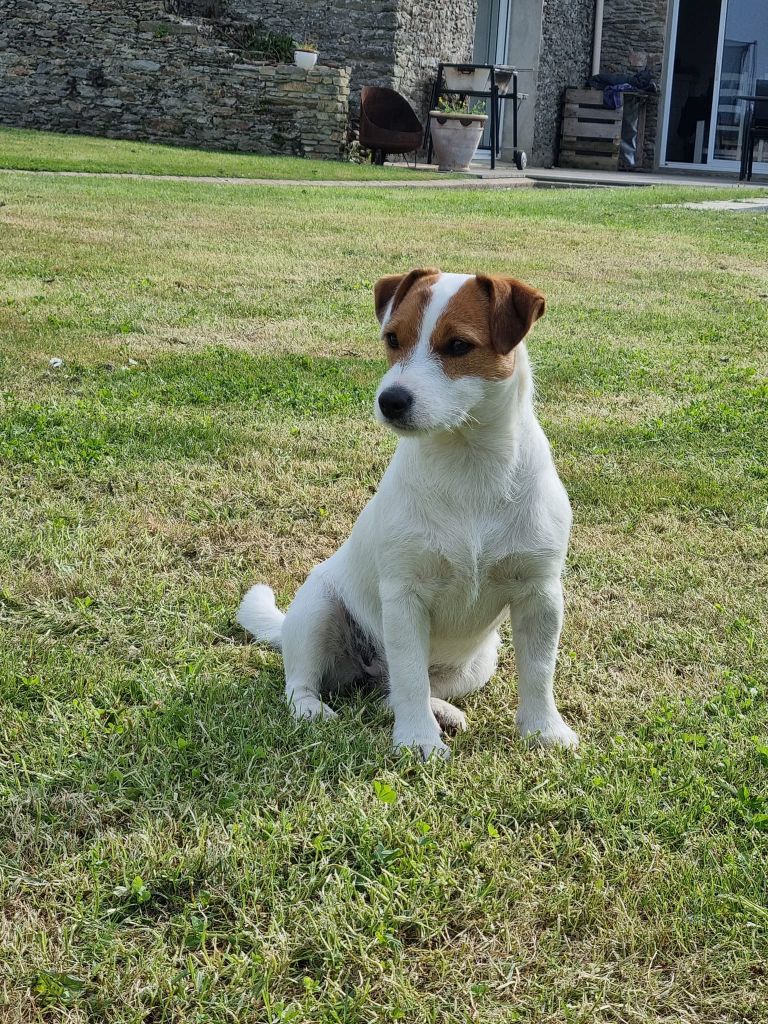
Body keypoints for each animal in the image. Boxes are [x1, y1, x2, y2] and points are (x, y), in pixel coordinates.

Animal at [237, 268, 581, 757]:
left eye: (458, 345)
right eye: (392, 339)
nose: (391, 400)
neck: (468, 466)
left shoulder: (540, 593)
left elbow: (538, 671)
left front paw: (544, 729)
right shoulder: (405, 598)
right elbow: (411, 678)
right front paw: (418, 740)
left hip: (480, 661)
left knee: (393, 693)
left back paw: (442, 711)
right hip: (317, 609)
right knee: (313, 682)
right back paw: (314, 709)